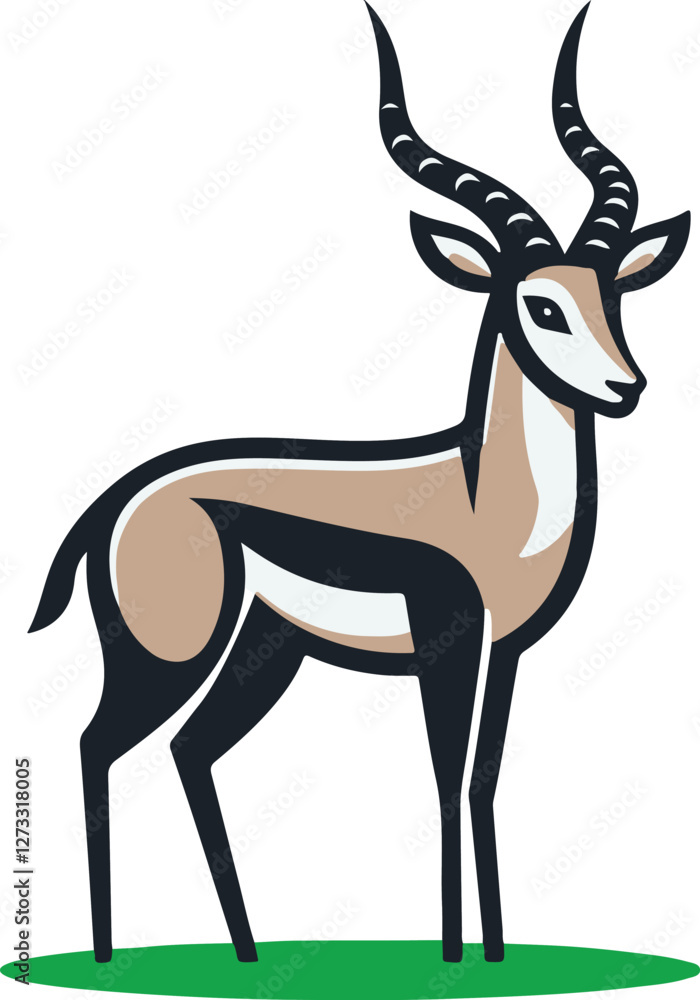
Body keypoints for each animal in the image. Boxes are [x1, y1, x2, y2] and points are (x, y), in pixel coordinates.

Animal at [30, 2, 689, 967]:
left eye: (611, 297)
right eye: (540, 305)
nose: (625, 387)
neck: (485, 499)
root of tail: (114, 502)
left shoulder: (506, 654)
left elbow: (485, 782)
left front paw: (494, 955)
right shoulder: (446, 643)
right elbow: (445, 777)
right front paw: (451, 959)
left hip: (265, 652)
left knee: (190, 751)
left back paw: (249, 954)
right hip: (167, 656)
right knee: (94, 744)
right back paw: (108, 957)